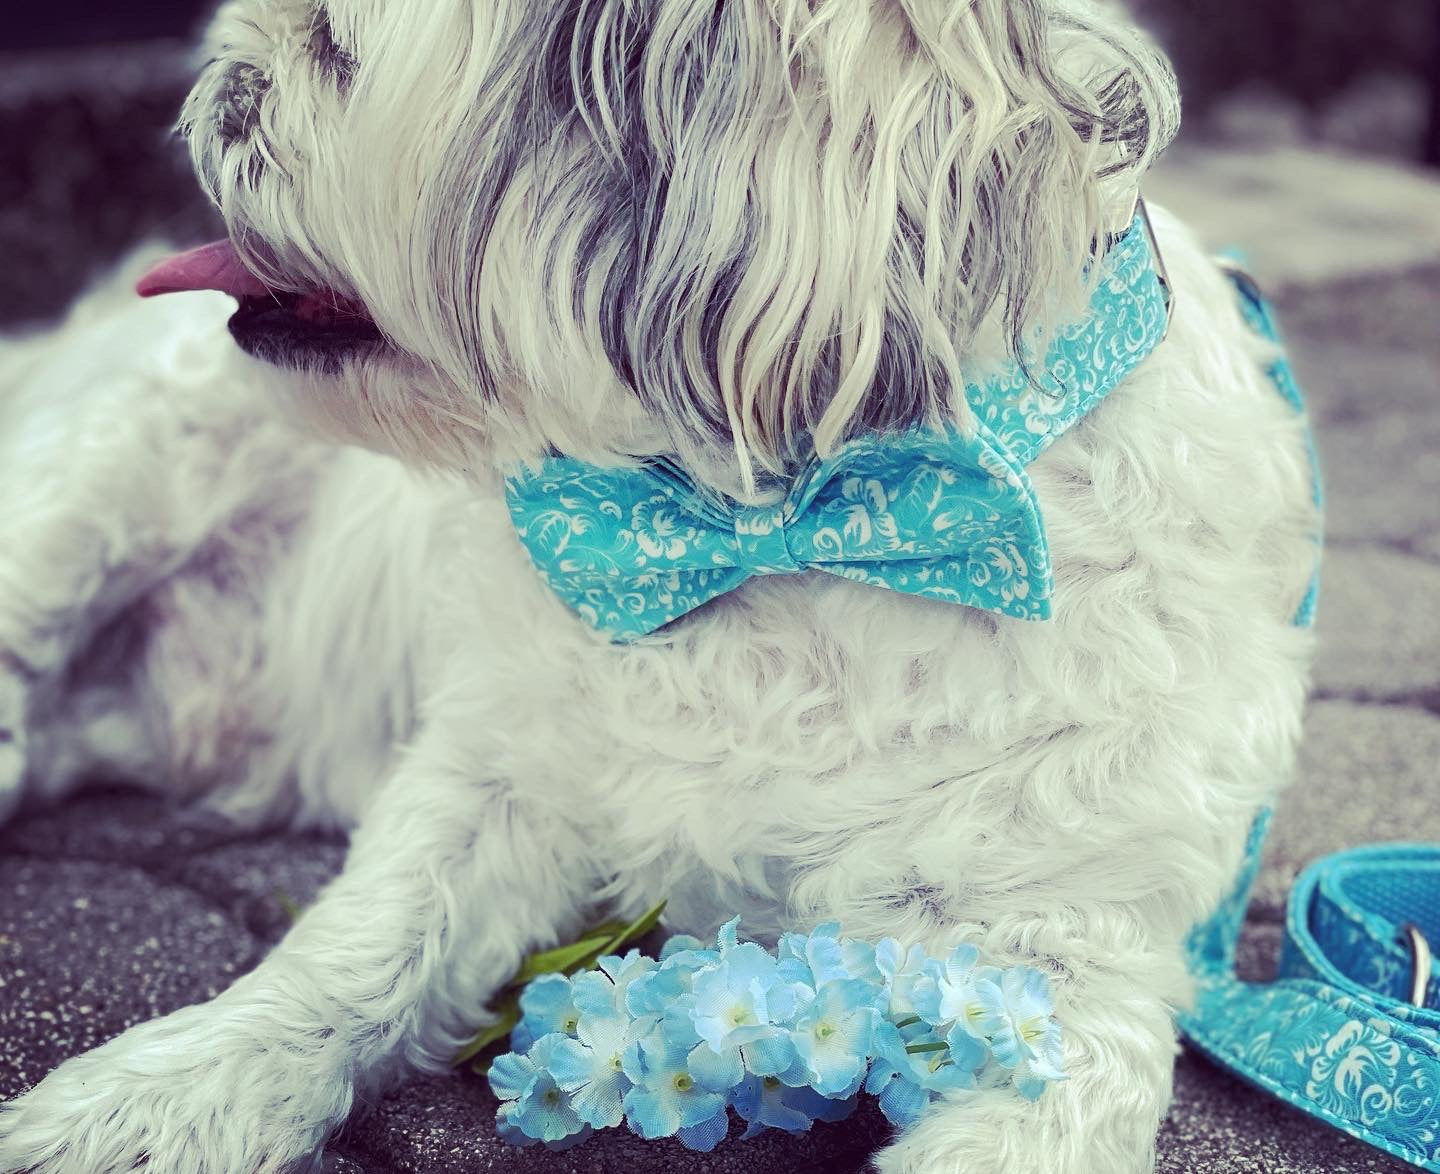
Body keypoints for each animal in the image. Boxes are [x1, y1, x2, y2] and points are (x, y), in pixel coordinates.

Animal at [0, 0, 1319, 1169]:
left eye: (331, 43)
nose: (216, 85)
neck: (789, 530)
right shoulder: (498, 773)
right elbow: (359, 950)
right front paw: (168, 1094)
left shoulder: (1062, 965)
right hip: (111, 472)